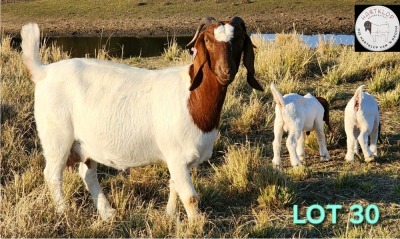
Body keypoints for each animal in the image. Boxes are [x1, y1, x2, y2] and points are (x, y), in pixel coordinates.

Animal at [22, 17, 266, 220]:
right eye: (207, 40)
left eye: (240, 39)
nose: (226, 71)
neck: (192, 97)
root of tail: (44, 72)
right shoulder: (177, 155)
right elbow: (189, 196)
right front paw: (197, 225)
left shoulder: (177, 159)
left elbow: (174, 186)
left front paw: (169, 216)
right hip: (57, 136)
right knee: (52, 174)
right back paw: (64, 212)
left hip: (85, 143)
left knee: (87, 173)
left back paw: (107, 213)